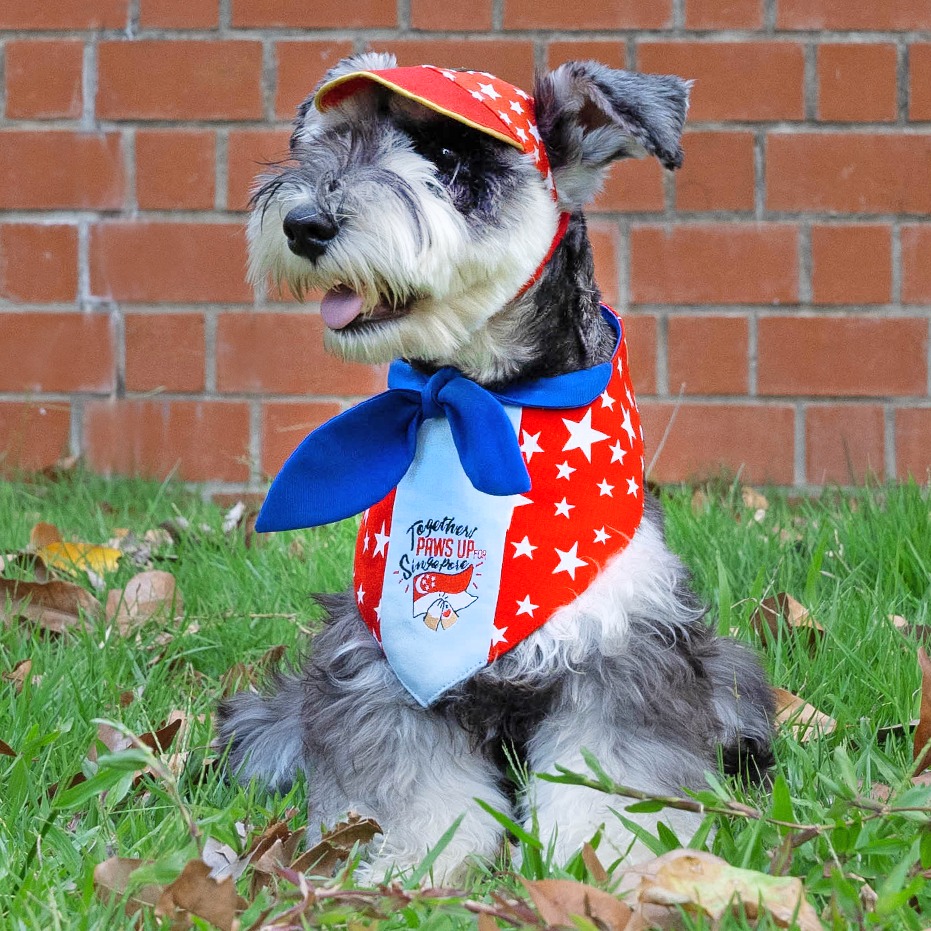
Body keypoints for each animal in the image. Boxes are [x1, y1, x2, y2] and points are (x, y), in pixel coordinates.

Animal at [218, 54, 772, 884]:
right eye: (338, 140)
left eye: (450, 158)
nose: (305, 223)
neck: (472, 397)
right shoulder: (378, 662)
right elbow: (412, 784)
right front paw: (410, 864)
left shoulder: (621, 652)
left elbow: (611, 775)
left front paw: (612, 860)